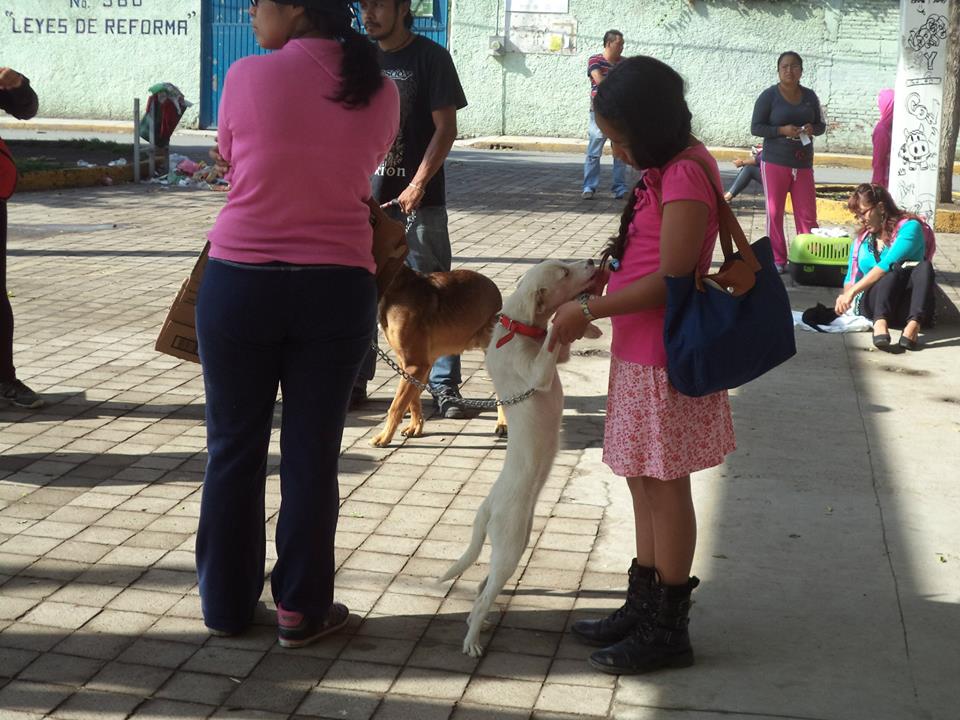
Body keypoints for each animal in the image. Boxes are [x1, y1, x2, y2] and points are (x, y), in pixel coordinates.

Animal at [368, 200, 502, 448]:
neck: (394, 285)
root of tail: (496, 292)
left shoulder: (415, 364)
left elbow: (396, 405)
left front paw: (385, 436)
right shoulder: (411, 364)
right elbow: (413, 399)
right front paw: (415, 427)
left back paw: (503, 424)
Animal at [440, 258, 600, 660]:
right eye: (563, 273)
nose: (593, 262)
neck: (517, 330)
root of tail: (486, 508)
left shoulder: (555, 360)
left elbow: (560, 343)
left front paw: (587, 327)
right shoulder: (538, 373)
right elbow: (553, 336)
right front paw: (567, 317)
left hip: (515, 542)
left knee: (483, 587)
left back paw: (475, 623)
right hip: (511, 546)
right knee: (484, 595)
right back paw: (472, 641)